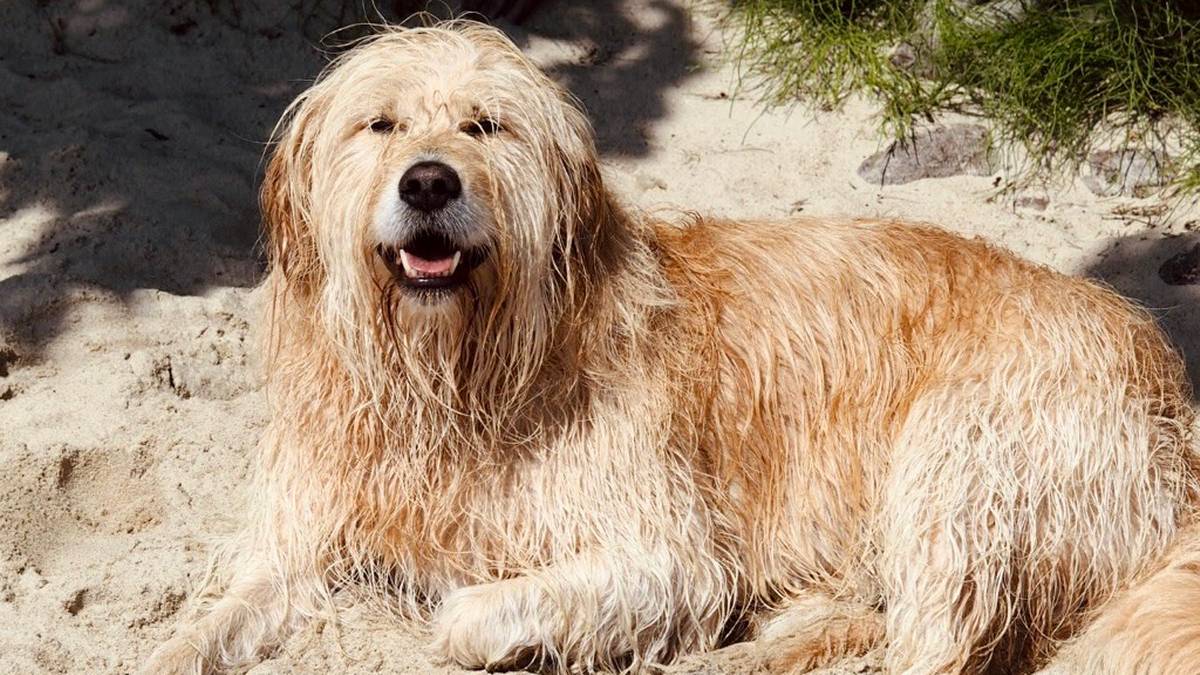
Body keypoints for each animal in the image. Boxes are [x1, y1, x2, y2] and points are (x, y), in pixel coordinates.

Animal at [147, 21, 1200, 672]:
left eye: (487, 124)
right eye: (381, 124)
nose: (430, 181)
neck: (451, 374)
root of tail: (1174, 402)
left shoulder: (666, 551)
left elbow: (467, 612)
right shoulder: (307, 532)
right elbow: (228, 608)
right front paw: (180, 642)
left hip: (958, 448)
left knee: (939, 644)